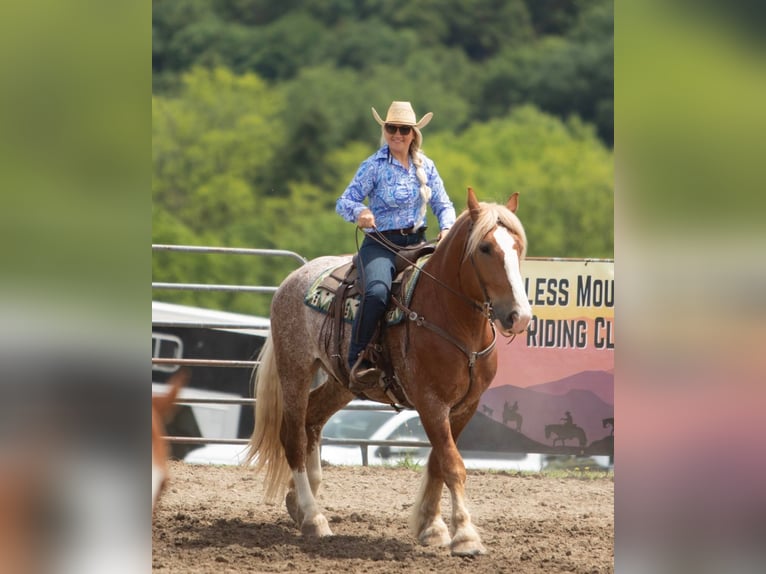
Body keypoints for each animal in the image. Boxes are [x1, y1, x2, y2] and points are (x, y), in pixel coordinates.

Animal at [248, 190, 536, 560]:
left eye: (518, 246)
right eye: (485, 248)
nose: (519, 316)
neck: (449, 316)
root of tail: (292, 279)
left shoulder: (464, 407)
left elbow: (438, 463)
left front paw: (432, 527)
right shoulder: (431, 403)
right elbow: (452, 464)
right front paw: (466, 536)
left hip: (342, 382)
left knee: (312, 421)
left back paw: (298, 503)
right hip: (295, 369)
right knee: (294, 437)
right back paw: (313, 518)